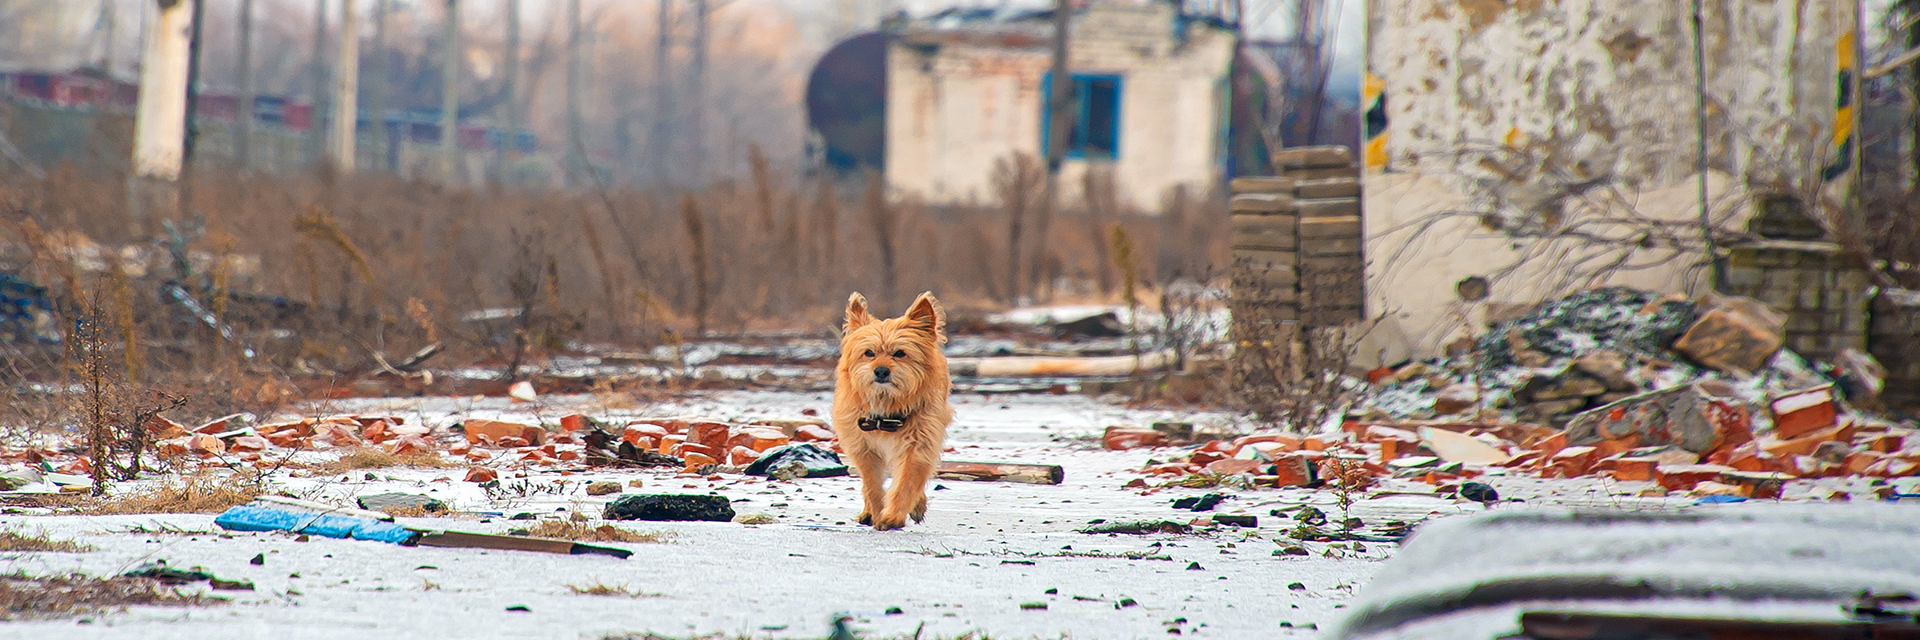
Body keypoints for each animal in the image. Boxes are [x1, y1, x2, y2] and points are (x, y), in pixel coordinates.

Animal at [833, 290, 952, 526]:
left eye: (899, 353)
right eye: (869, 353)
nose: (881, 371)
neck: (887, 405)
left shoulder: (918, 443)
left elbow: (907, 480)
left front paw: (893, 516)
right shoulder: (863, 448)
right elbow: (872, 485)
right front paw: (878, 511)